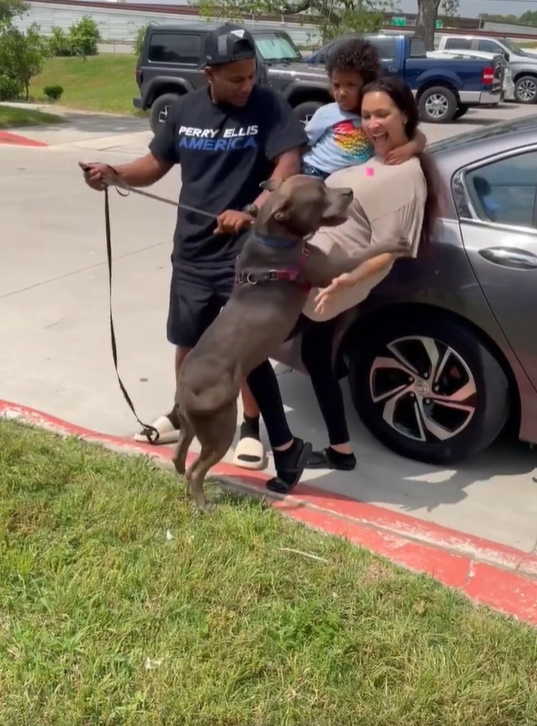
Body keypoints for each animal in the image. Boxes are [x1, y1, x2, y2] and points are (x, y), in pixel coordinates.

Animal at [174, 174, 408, 512]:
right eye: (320, 193)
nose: (349, 192)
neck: (273, 238)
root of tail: (184, 388)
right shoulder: (329, 269)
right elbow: (361, 255)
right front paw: (393, 244)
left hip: (193, 424)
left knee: (180, 454)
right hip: (220, 426)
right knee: (197, 468)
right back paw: (204, 505)